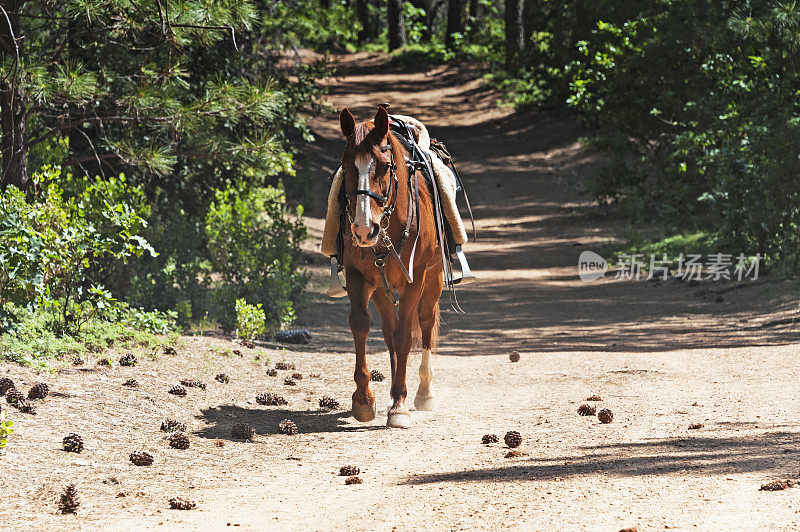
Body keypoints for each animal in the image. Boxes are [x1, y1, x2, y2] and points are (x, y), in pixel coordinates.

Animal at [334, 105, 440, 428]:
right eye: (346, 166)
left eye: (382, 166)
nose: (362, 229)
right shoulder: (357, 276)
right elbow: (361, 325)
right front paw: (363, 400)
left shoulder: (415, 281)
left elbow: (407, 335)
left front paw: (399, 407)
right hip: (382, 287)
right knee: (389, 332)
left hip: (433, 280)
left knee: (426, 323)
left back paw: (422, 392)